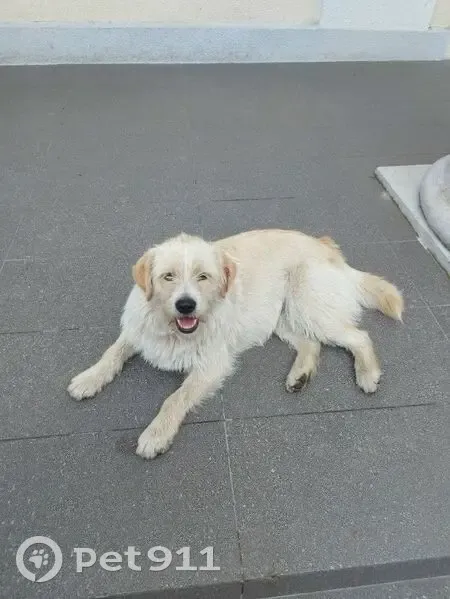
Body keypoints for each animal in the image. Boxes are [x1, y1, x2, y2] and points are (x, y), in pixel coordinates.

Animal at [68, 229, 403, 459]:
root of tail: (325, 245)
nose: (186, 305)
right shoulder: (137, 331)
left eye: (203, 277)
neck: (173, 329)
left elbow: (174, 399)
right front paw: (88, 378)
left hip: (308, 305)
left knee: (358, 336)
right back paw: (300, 375)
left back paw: (367, 374)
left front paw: (156, 434)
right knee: (311, 343)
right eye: (168, 276)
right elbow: (112, 353)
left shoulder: (210, 365)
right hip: (282, 318)